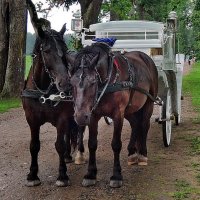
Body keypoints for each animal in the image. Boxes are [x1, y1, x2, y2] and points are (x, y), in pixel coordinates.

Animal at [21, 25, 85, 188]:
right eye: (47, 51)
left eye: (64, 49)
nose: (66, 83)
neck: (44, 92)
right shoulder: (32, 120)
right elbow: (34, 146)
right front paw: (32, 175)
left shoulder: (62, 119)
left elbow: (59, 145)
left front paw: (62, 175)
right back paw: (68, 156)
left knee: (79, 131)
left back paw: (79, 155)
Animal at [68, 42, 159, 188]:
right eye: (71, 83)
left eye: (93, 81)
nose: (81, 117)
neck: (108, 81)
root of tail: (145, 56)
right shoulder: (93, 115)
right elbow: (92, 144)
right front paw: (90, 174)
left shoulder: (118, 114)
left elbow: (116, 144)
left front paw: (116, 175)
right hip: (130, 109)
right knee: (135, 124)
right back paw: (132, 153)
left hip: (148, 103)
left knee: (144, 125)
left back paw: (142, 155)